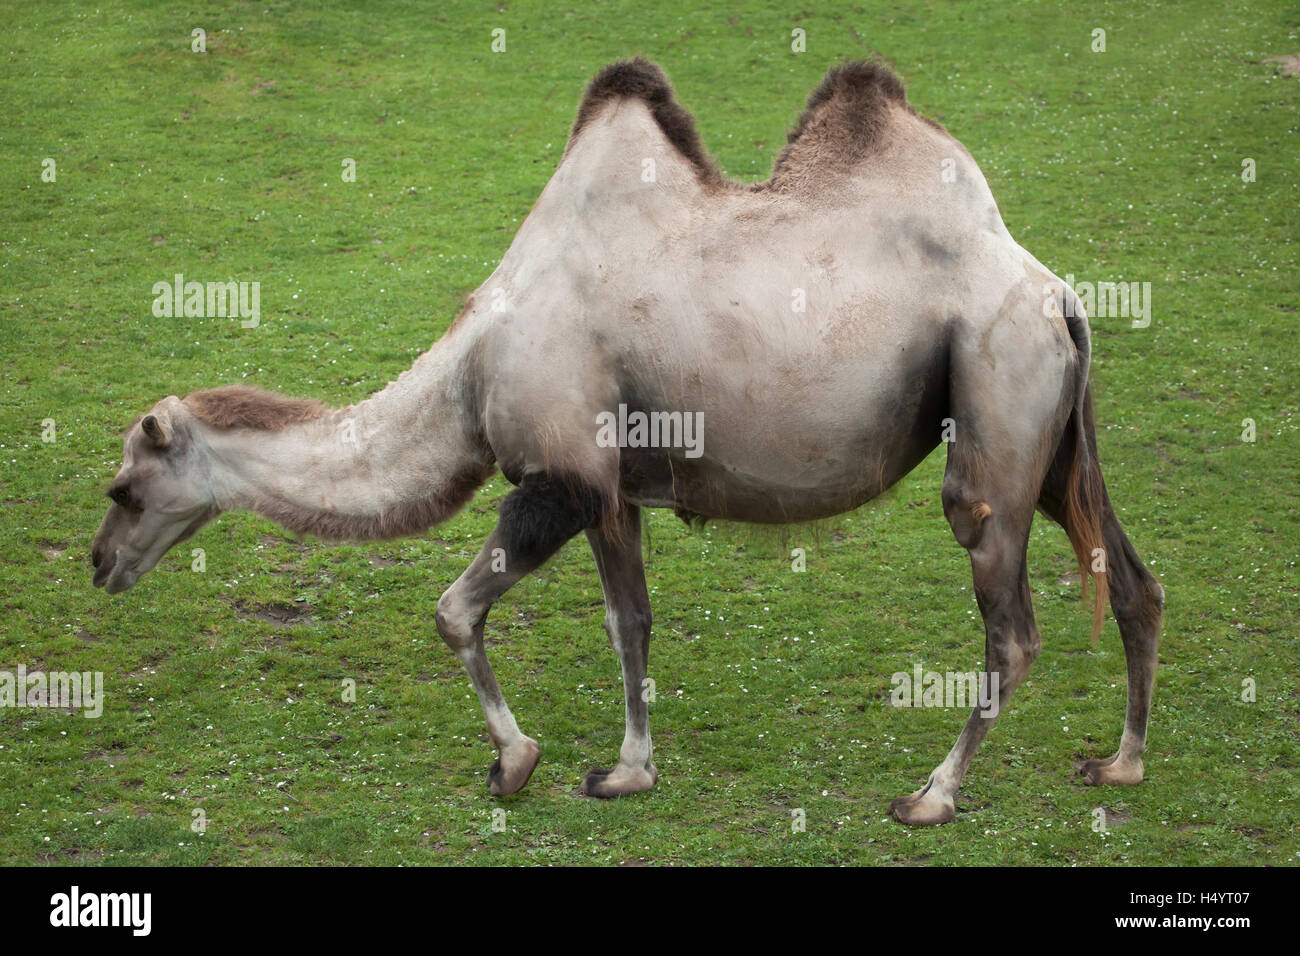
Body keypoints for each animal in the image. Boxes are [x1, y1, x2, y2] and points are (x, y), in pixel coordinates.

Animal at [94, 57, 1170, 822]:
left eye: (124, 486)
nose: (102, 562)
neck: (471, 367)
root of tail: (1057, 293)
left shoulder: (559, 474)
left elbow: (454, 610)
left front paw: (515, 761)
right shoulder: (610, 488)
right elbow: (631, 622)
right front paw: (626, 772)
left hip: (995, 398)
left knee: (1011, 623)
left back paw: (931, 795)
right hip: (1053, 435)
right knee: (1132, 581)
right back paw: (1119, 762)